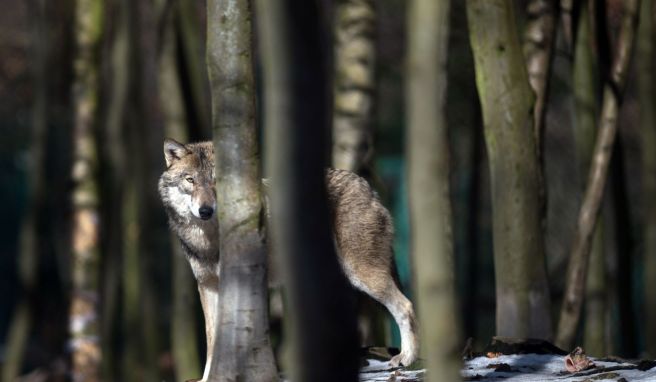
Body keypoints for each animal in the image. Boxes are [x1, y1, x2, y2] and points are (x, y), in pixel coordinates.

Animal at [156, 139, 418, 378]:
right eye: (190, 180)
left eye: (216, 180)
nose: (205, 211)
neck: (211, 239)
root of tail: (366, 185)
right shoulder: (208, 286)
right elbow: (212, 339)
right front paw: (210, 377)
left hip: (362, 275)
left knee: (405, 306)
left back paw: (405, 357)